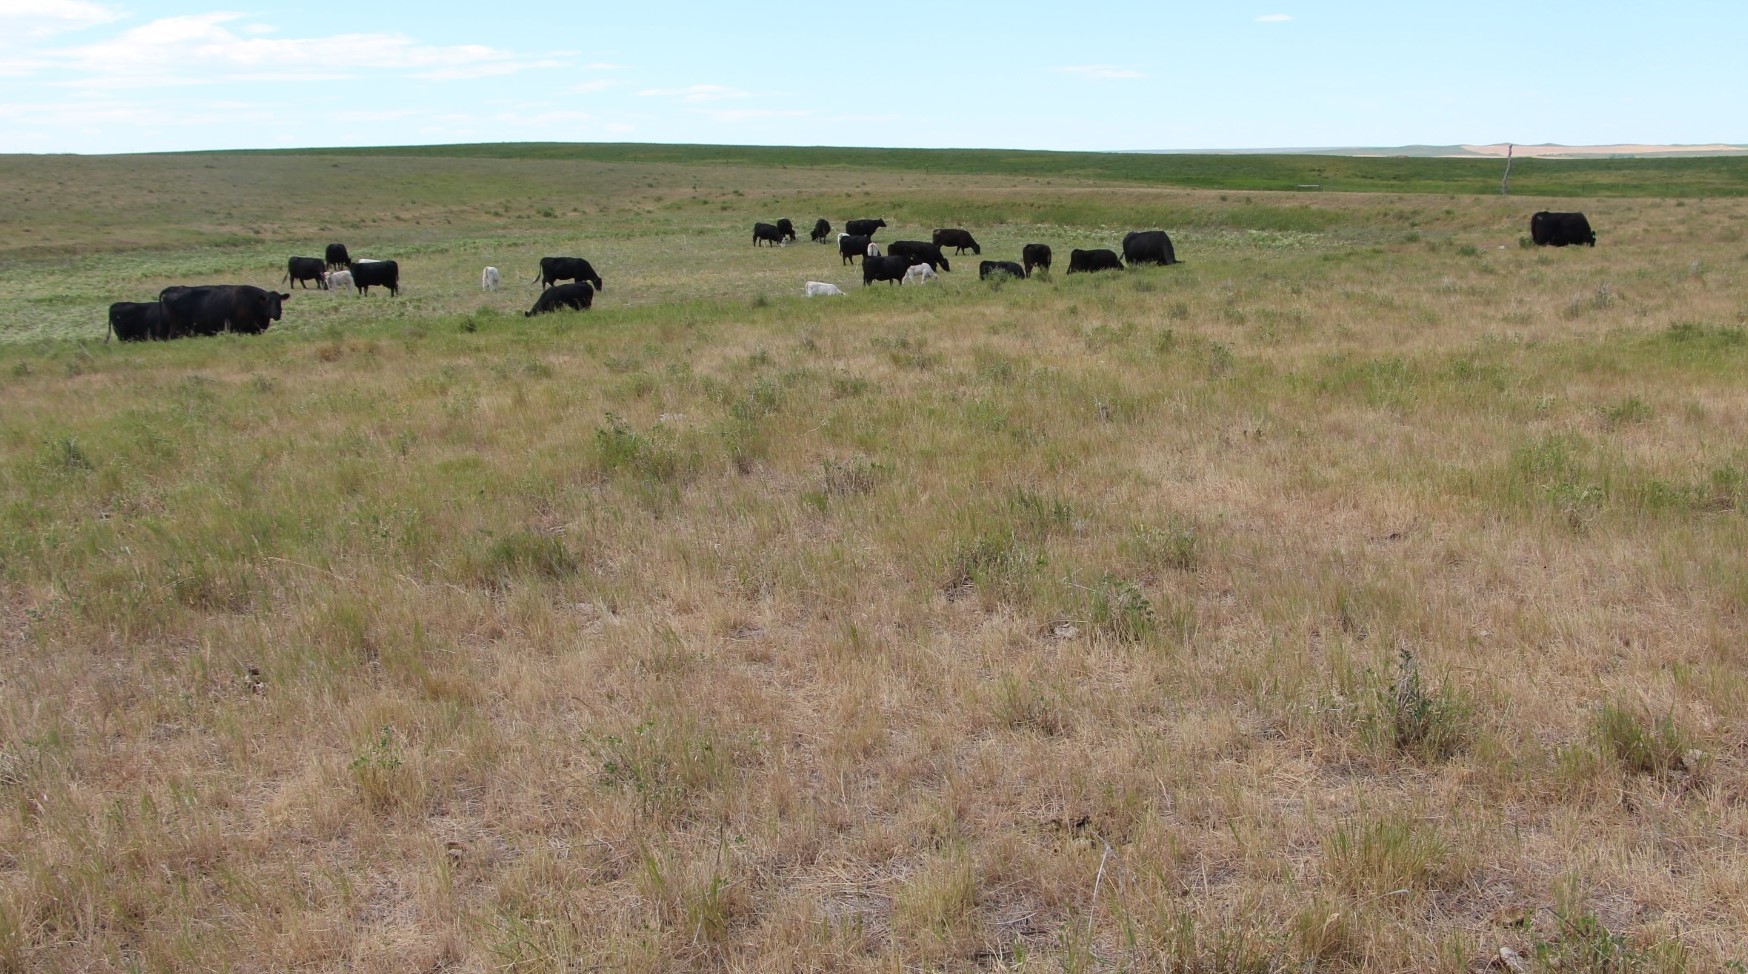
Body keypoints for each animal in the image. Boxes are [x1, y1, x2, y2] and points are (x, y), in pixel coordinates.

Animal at [158, 285, 288, 337]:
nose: (277, 314)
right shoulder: (241, 329)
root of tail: (173, 288)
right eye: (268, 302)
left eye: (279, 301)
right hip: (177, 328)